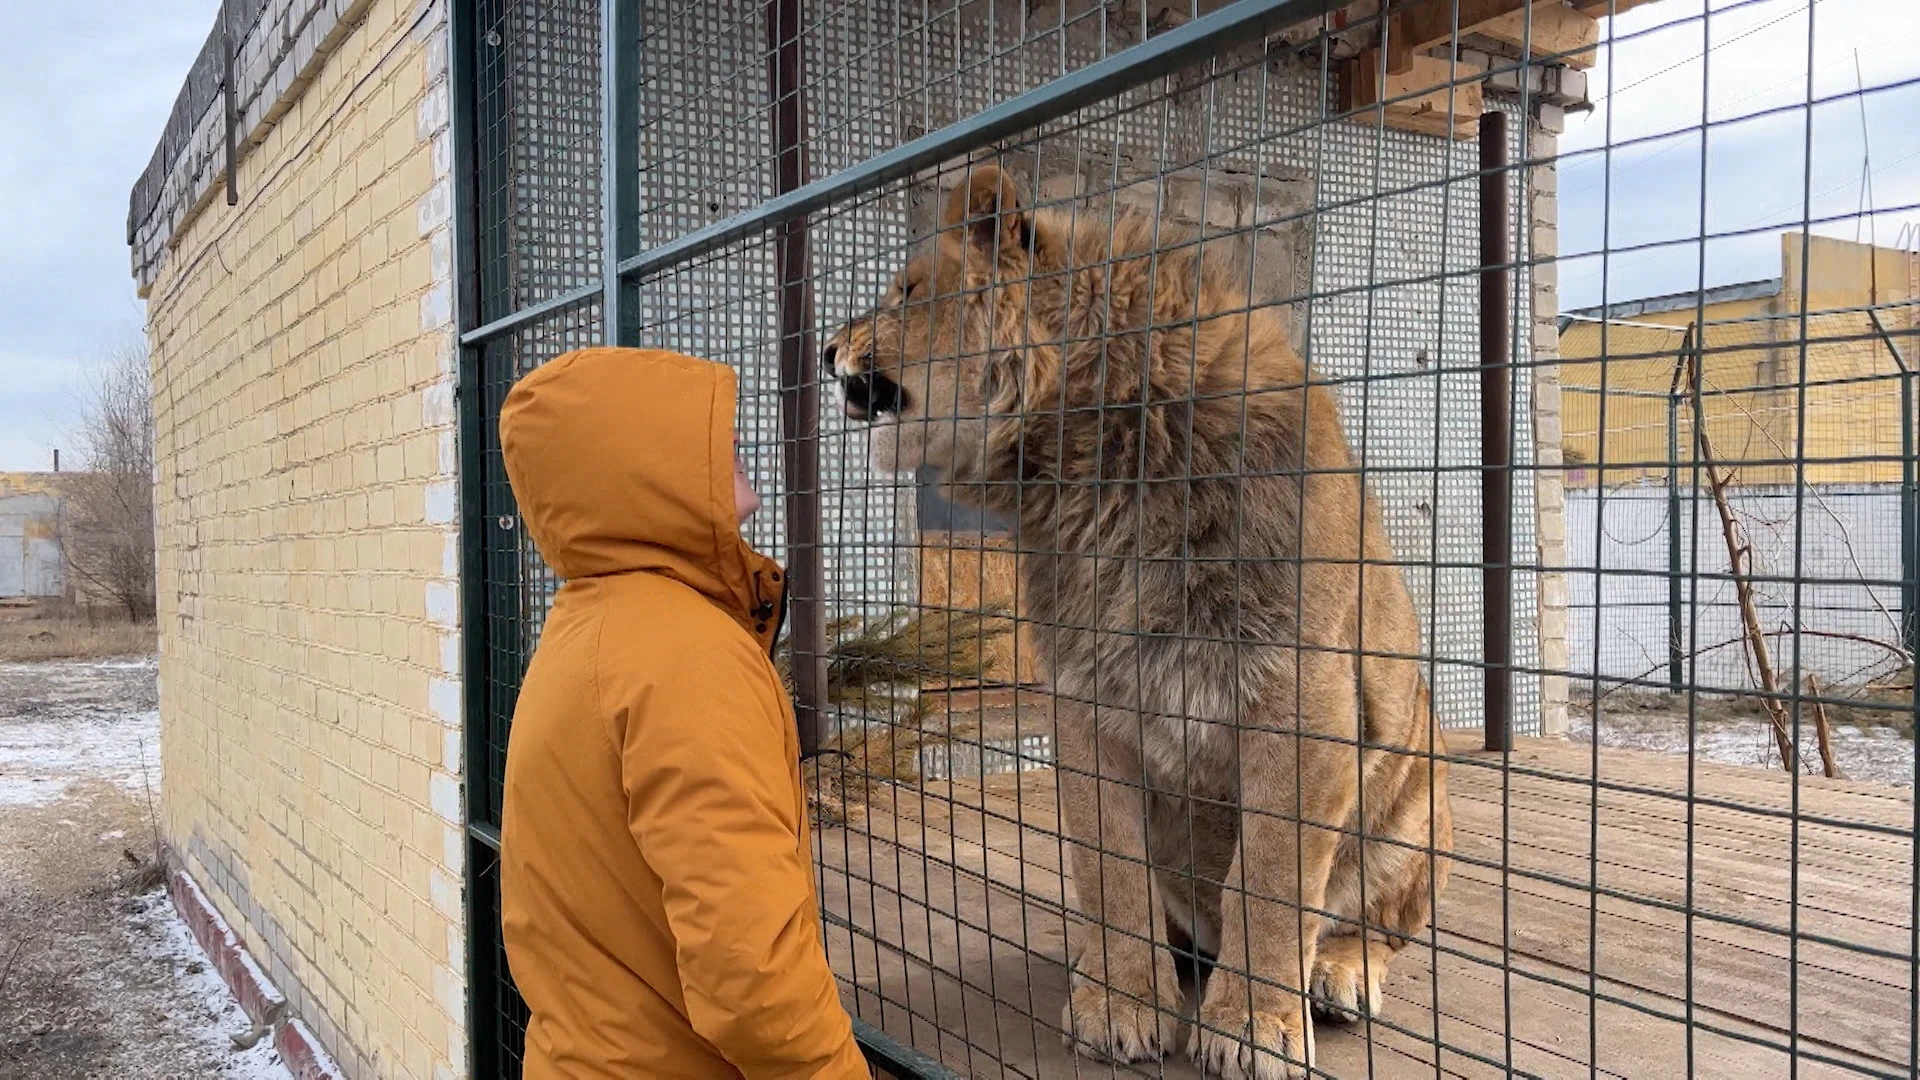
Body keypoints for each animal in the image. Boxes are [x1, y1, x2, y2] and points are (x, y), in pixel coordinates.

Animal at [825, 164, 1451, 1068]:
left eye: (905, 292)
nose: (824, 350)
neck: (1096, 478)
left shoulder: (1304, 708)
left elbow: (1271, 880)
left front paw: (1254, 1026)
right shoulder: (1089, 702)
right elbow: (1112, 870)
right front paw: (1120, 1002)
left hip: (1419, 792)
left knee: (1375, 926)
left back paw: (1338, 975)